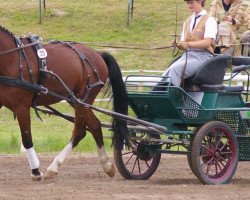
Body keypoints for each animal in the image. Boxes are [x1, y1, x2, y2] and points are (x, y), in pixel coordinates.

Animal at [0, 25, 129, 180]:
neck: (11, 59)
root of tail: (97, 53)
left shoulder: (21, 106)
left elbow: (27, 139)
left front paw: (36, 171)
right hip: (76, 100)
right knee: (95, 126)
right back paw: (106, 165)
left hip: (83, 100)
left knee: (79, 132)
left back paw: (54, 166)